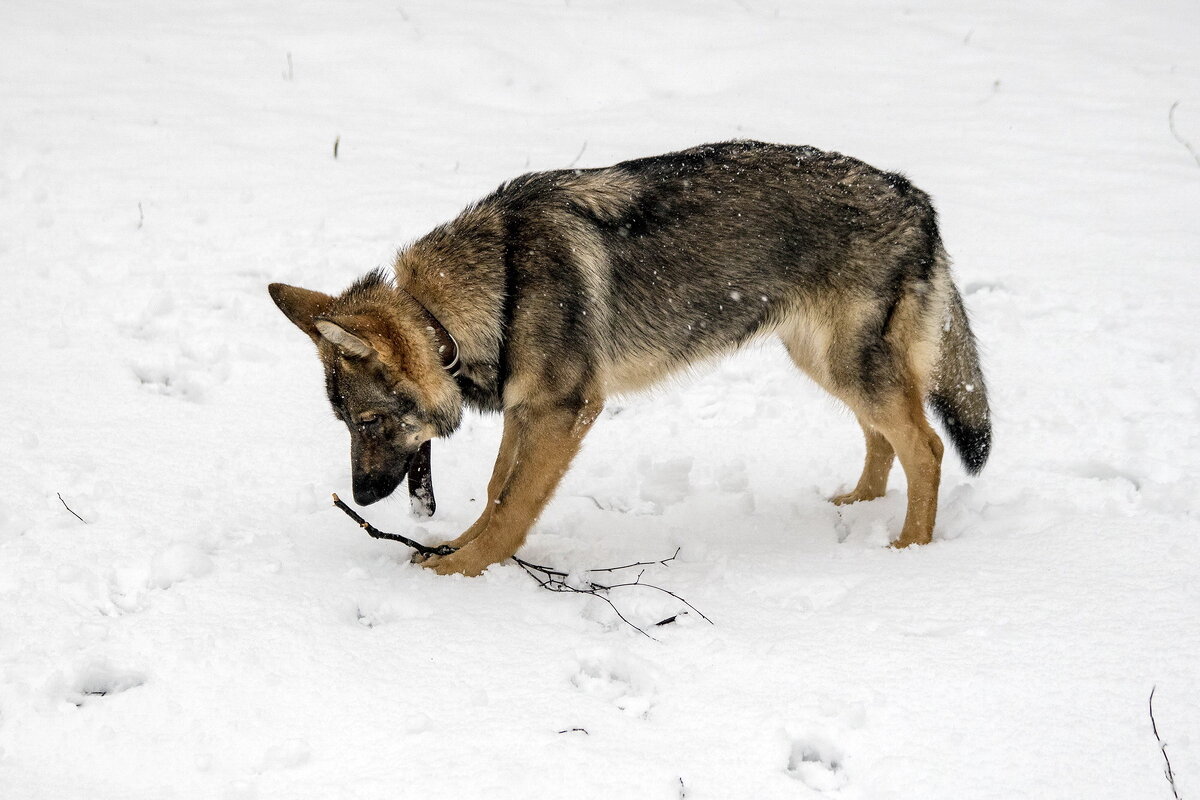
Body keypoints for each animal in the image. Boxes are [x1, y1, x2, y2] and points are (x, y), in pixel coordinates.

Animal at [272, 139, 993, 575]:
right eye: (347, 425)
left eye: (368, 422)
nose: (360, 497)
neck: (491, 287)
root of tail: (914, 197)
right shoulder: (527, 410)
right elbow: (495, 490)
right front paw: (453, 544)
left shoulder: (565, 414)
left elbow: (513, 508)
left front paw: (463, 570)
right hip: (825, 363)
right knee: (883, 439)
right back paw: (856, 505)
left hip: (849, 366)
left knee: (927, 447)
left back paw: (908, 550)